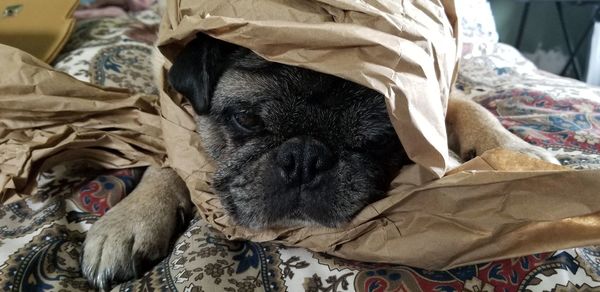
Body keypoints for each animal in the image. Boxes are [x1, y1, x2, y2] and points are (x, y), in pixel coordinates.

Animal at [79, 33, 556, 288]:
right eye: (247, 119)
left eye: (378, 138)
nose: (305, 158)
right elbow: (166, 157)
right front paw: (130, 218)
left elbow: (474, 108)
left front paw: (515, 149)